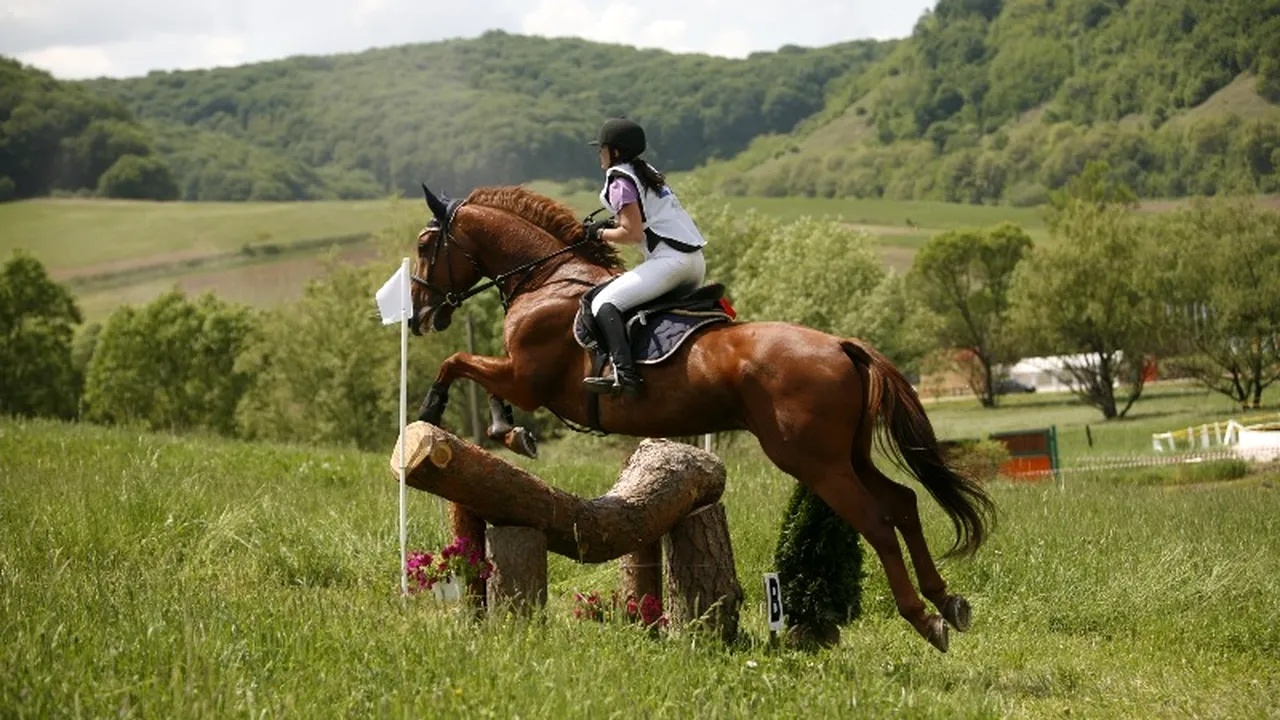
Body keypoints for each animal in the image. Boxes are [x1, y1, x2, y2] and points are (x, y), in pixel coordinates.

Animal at [408, 184, 996, 653]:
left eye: (423, 247)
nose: (417, 316)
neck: (548, 278)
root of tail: (839, 345)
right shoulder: (518, 377)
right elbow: (474, 372)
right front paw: (508, 432)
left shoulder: (527, 378)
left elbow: (458, 362)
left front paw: (440, 413)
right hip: (845, 453)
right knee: (904, 503)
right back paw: (948, 602)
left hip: (814, 461)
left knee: (876, 520)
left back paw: (925, 619)